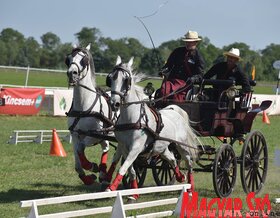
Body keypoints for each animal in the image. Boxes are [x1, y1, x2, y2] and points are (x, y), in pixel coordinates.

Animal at [65, 44, 115, 186]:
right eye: (68, 59)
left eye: (84, 60)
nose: (72, 73)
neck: (83, 107)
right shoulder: (75, 135)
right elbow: (77, 160)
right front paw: (88, 178)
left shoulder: (94, 135)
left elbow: (81, 149)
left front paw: (91, 166)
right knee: (106, 147)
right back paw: (103, 173)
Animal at [105, 56, 201, 199]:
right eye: (110, 78)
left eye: (126, 80)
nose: (114, 103)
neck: (132, 118)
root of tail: (176, 110)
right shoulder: (123, 147)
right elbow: (130, 169)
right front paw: (134, 193)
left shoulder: (136, 147)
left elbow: (124, 167)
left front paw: (111, 187)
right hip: (162, 147)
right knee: (172, 159)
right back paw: (179, 177)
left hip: (182, 146)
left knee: (189, 163)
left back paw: (190, 189)